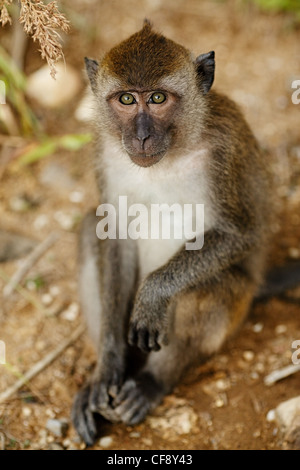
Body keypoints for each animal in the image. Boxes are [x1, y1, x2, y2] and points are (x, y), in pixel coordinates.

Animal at [71, 19, 274, 444]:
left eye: (158, 98)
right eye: (126, 99)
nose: (142, 136)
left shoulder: (226, 148)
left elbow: (240, 235)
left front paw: (153, 293)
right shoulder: (103, 151)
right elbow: (112, 233)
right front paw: (109, 364)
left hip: (238, 307)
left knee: (207, 289)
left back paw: (152, 382)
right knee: (88, 231)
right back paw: (103, 378)